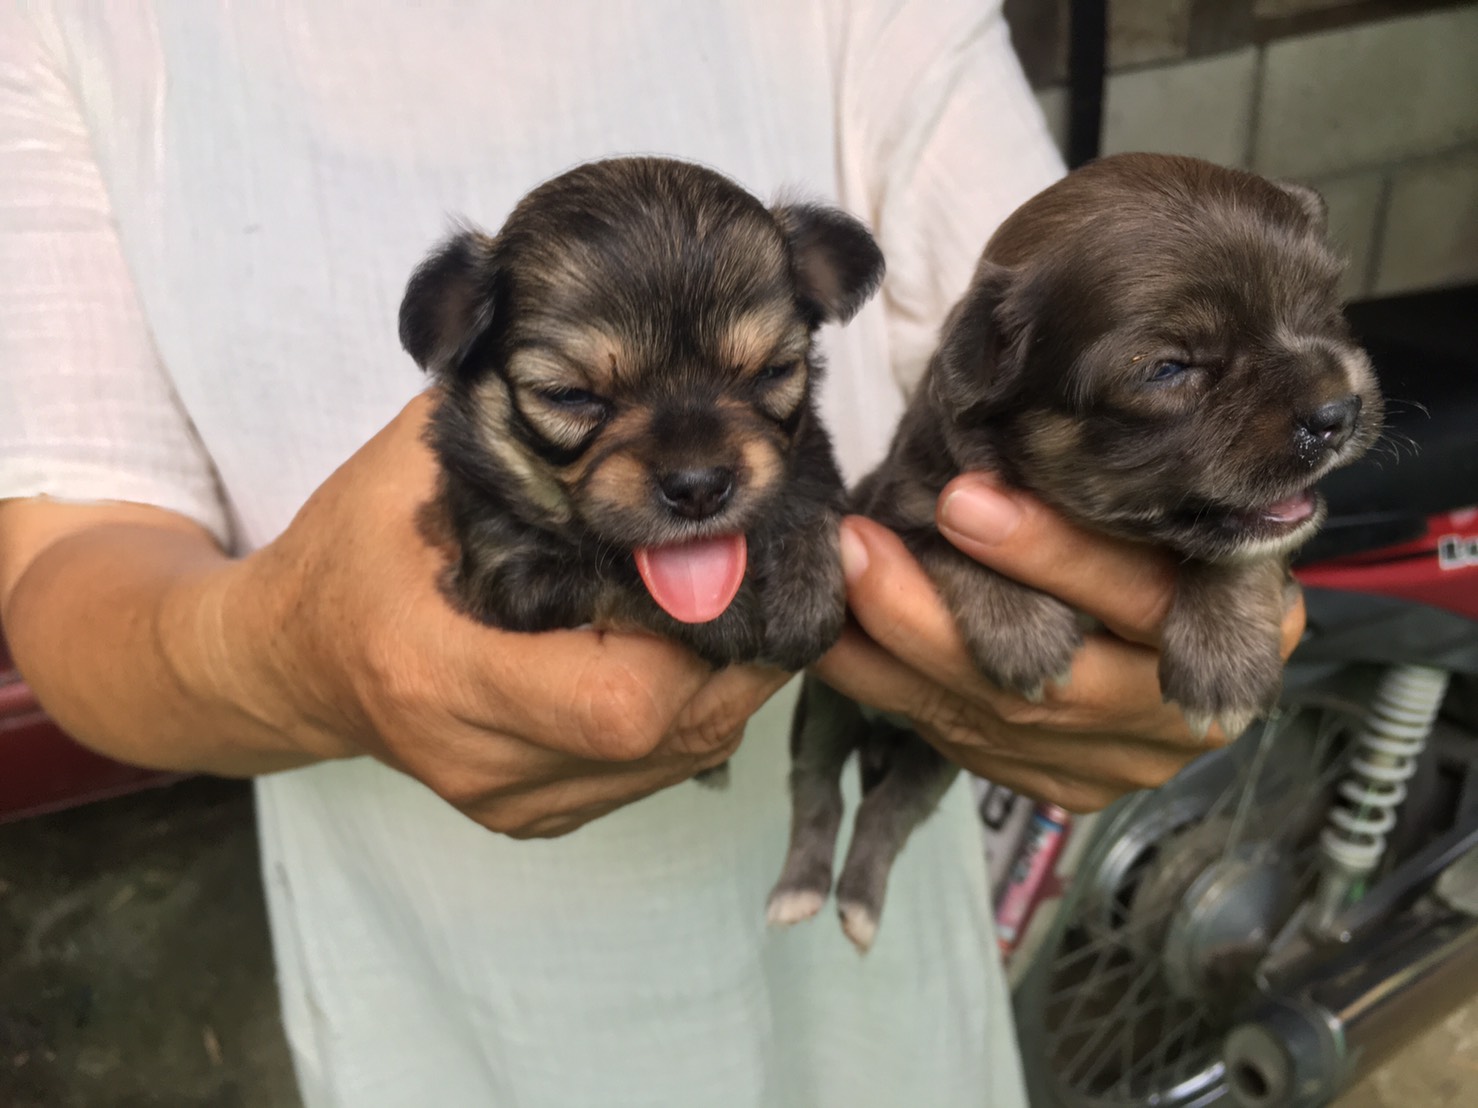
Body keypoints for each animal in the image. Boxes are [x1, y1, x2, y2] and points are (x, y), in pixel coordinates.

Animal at [398, 157, 884, 683]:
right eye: (569, 396)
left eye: (773, 372)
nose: (699, 488)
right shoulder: (506, 572)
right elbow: (604, 575)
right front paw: (726, 620)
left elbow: (813, 502)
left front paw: (805, 593)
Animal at [767, 153, 1384, 951]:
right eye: (1169, 369)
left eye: (1327, 307)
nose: (1337, 412)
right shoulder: (899, 509)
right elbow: (948, 541)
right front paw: (1023, 630)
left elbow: (1246, 548)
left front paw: (1226, 654)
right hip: (830, 710)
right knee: (817, 792)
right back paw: (802, 892)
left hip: (932, 759)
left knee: (886, 815)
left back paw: (861, 906)